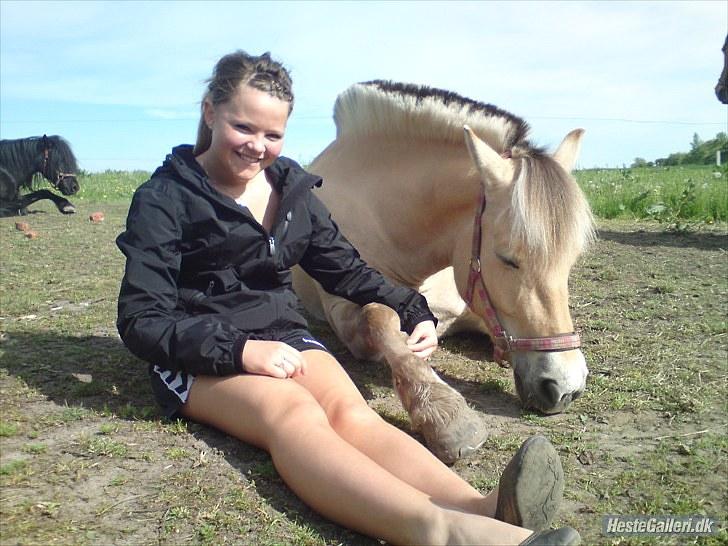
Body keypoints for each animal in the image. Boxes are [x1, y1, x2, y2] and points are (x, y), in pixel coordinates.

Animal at [292, 81, 596, 462]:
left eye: (571, 260)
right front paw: (446, 415)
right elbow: (381, 319)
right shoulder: (343, 311)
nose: (566, 388)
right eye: (508, 259)